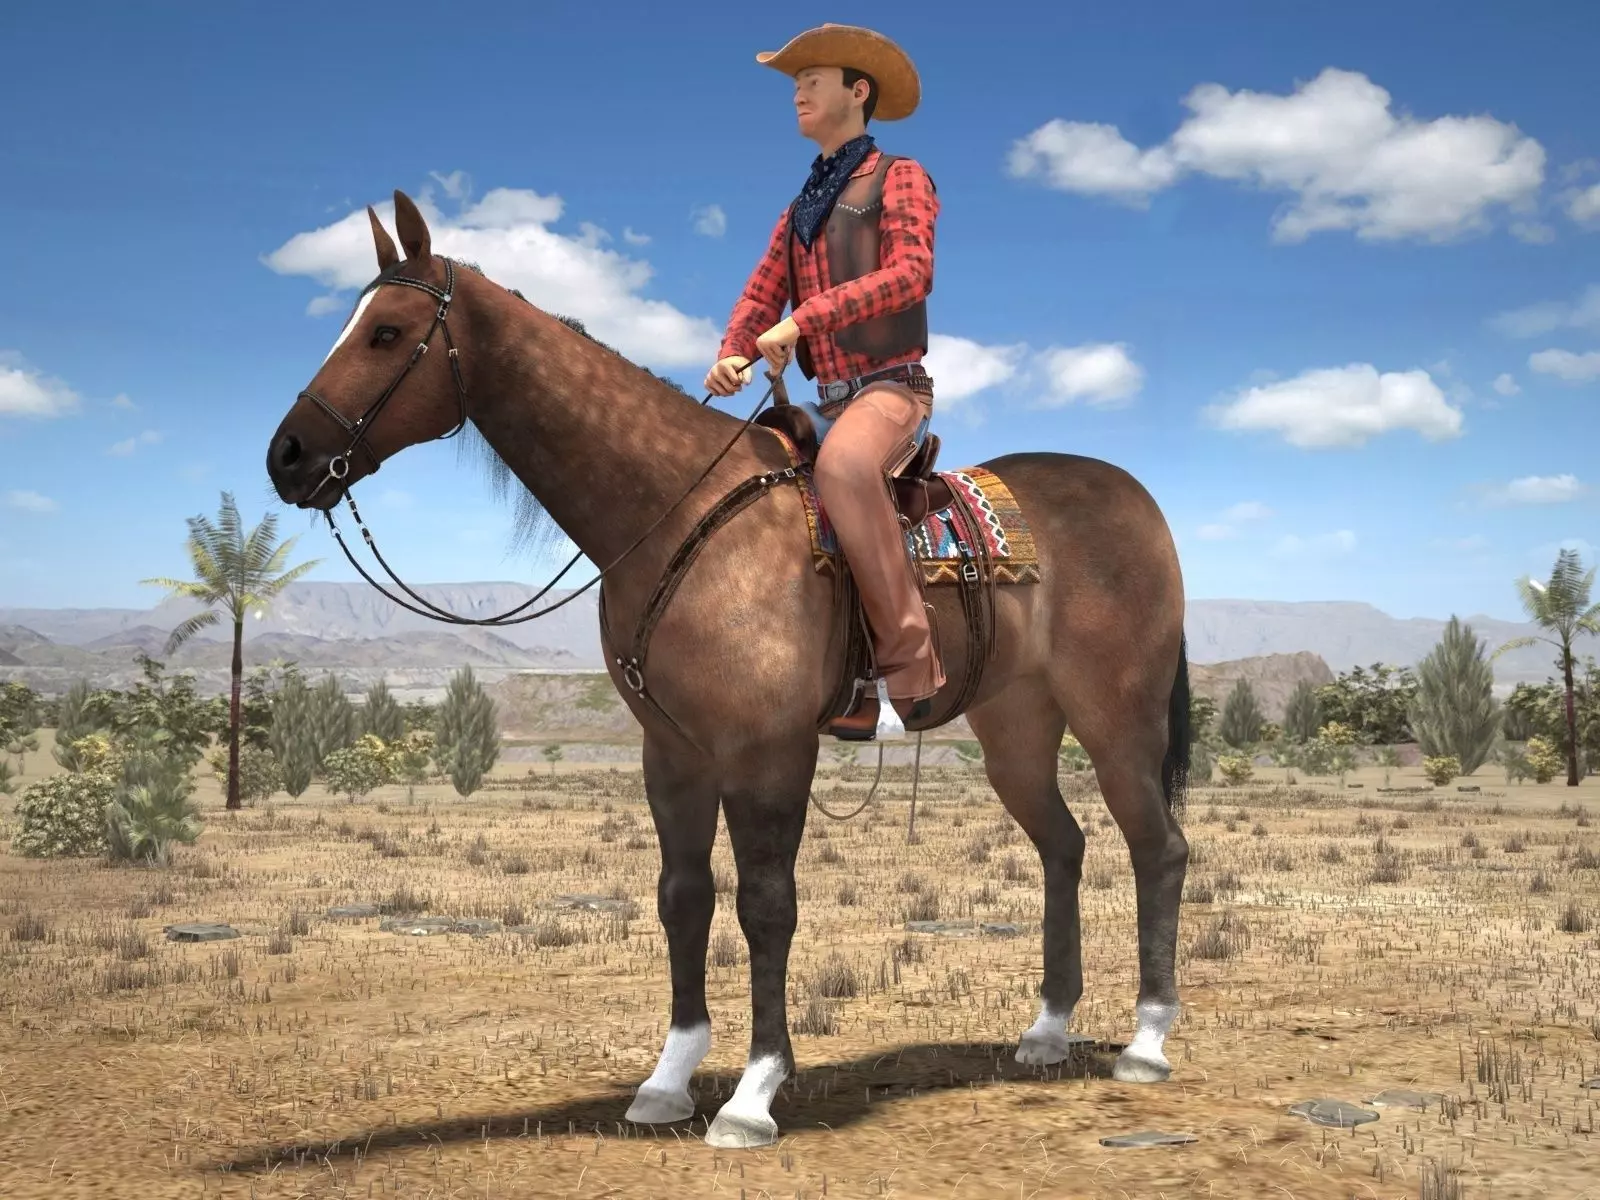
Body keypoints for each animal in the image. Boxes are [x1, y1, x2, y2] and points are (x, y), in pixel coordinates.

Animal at [265, 190, 1192, 1150]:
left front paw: (752, 1094)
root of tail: (1136, 500)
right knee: (1064, 847)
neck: (678, 510)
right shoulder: (671, 753)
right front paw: (668, 1080)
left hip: (1118, 718)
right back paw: (1046, 1031)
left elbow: (765, 906)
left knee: (1158, 847)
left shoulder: (767, 753)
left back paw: (1146, 1043)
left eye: (388, 331)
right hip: (1015, 729)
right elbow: (684, 898)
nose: (287, 456)